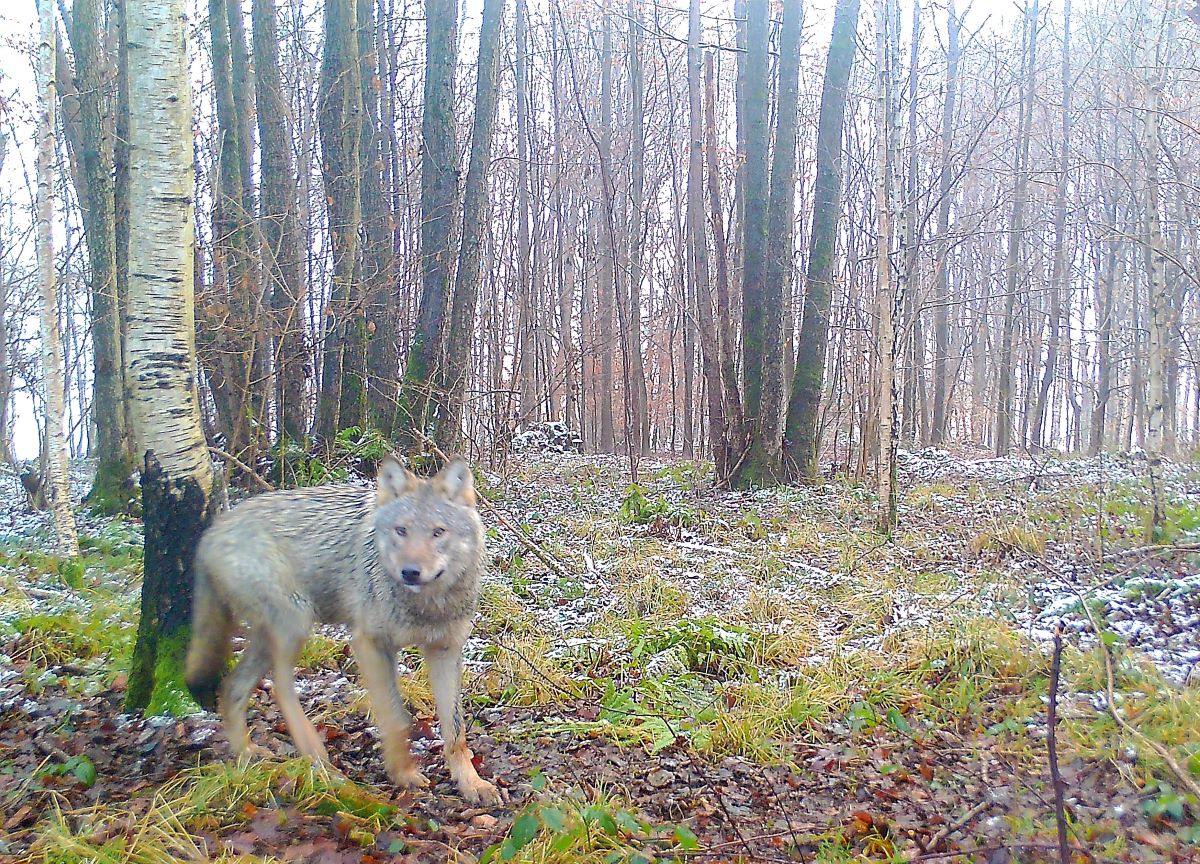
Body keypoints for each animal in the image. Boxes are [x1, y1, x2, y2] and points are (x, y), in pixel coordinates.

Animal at [181, 458, 496, 801]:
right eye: (401, 530)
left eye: (438, 532)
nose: (410, 572)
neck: (428, 606)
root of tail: (212, 532)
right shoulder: (370, 644)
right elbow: (396, 719)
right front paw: (404, 774)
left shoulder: (445, 650)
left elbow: (455, 730)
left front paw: (471, 783)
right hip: (296, 624)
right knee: (280, 688)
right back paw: (319, 760)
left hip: (271, 637)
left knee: (232, 688)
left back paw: (247, 754)